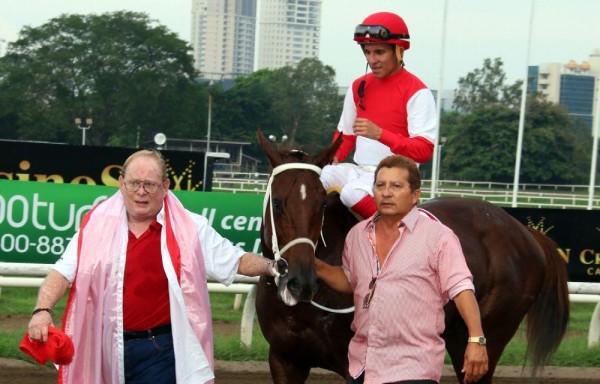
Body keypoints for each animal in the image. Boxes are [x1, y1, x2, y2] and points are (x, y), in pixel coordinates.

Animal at [254, 130, 572, 382]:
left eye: (321, 204)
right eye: (278, 203)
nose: (302, 282)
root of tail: (526, 231)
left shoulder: (357, 366)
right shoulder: (285, 360)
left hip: (486, 339)